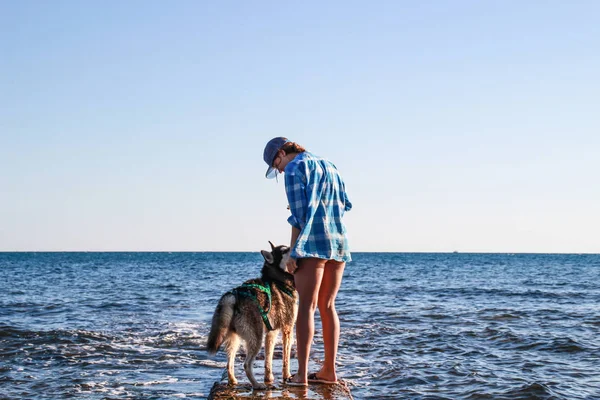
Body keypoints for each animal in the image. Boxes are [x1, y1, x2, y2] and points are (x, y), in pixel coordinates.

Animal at [206, 242, 298, 390]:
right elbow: (286, 358)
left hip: (234, 339)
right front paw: (287, 375)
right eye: (285, 250)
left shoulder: (272, 332)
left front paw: (269, 377)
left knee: (229, 363)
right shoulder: (287, 328)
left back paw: (233, 380)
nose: (295, 245)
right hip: (255, 338)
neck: (278, 280)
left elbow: (268, 358)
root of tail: (234, 295)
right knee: (246, 364)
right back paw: (257, 384)